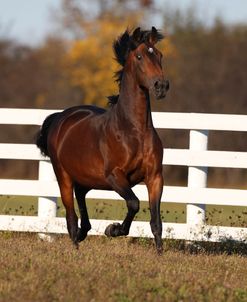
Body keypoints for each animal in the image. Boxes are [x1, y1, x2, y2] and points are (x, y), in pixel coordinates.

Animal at [36, 26, 170, 254]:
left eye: (160, 55)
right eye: (140, 56)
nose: (160, 85)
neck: (134, 132)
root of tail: (61, 117)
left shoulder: (155, 177)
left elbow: (156, 221)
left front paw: (160, 254)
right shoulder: (115, 176)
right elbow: (134, 203)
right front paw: (112, 229)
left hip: (85, 179)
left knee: (81, 202)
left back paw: (83, 234)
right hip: (64, 177)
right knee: (71, 217)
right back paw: (76, 248)